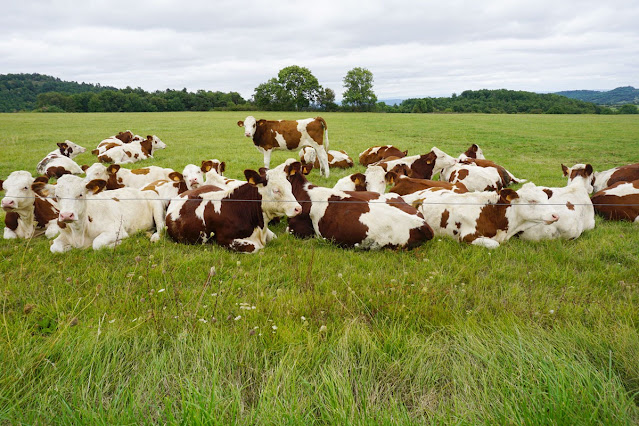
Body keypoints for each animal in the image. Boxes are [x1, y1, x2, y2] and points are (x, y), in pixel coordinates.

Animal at [33, 175, 165, 251]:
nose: (66, 215)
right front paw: (68, 247)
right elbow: (54, 247)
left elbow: (97, 244)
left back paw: (154, 237)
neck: (79, 233)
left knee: (161, 227)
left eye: (80, 194)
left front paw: (118, 243)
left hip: (157, 207)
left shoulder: (116, 230)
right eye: (57, 196)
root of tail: (141, 190)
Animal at [168, 166, 302, 253]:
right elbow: (256, 247)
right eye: (276, 190)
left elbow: (273, 236)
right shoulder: (226, 240)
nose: (298, 208)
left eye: (289, 186)